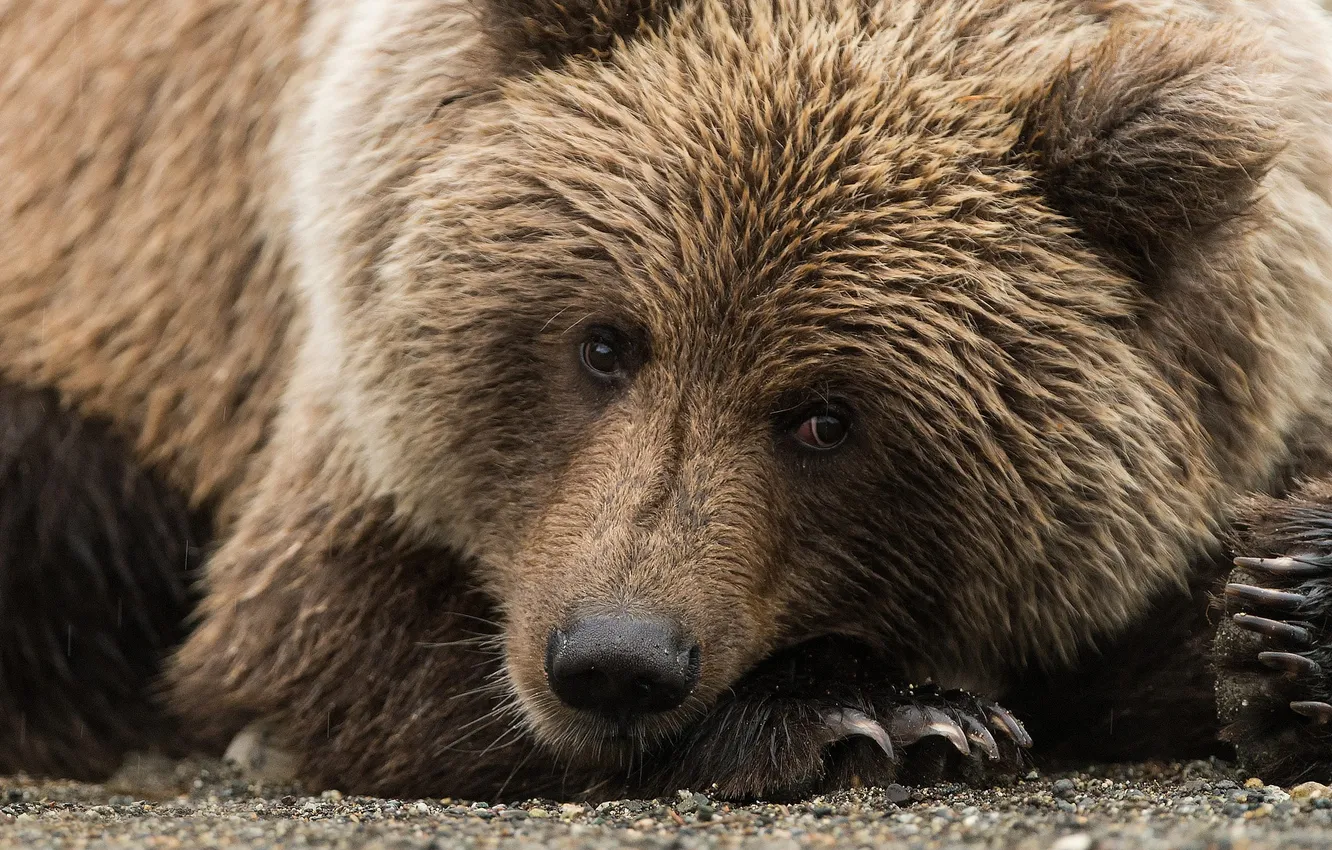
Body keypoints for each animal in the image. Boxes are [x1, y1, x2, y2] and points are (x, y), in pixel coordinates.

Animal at [3, 0, 1332, 801]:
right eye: (604, 342)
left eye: (826, 413)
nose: (614, 658)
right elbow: (321, 625)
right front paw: (872, 714)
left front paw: (1288, 616)